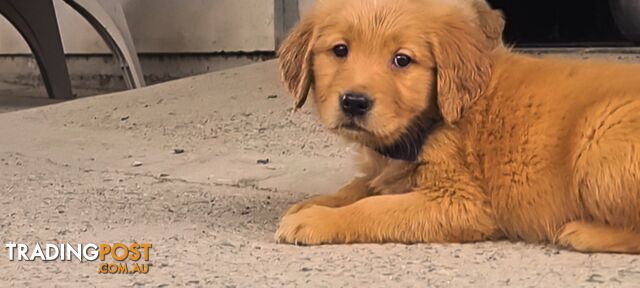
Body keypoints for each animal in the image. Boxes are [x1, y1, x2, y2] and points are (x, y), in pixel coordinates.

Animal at [276, 0, 640, 253]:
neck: (434, 121)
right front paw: (316, 203)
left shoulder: (462, 202)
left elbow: (374, 207)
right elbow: (358, 187)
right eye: (340, 50)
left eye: (402, 60)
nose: (354, 102)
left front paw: (316, 219)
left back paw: (583, 232)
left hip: (599, 142)